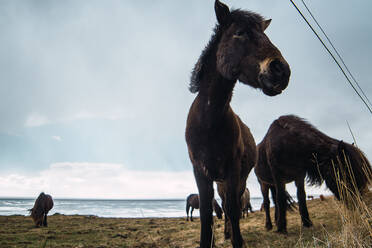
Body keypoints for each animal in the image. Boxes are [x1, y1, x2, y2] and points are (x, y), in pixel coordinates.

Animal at [185, 0, 290, 246]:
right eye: (240, 33)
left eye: (265, 34)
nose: (281, 70)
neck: (209, 121)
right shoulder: (200, 172)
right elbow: (207, 213)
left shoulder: (233, 171)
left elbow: (233, 209)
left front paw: (237, 240)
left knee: (231, 204)